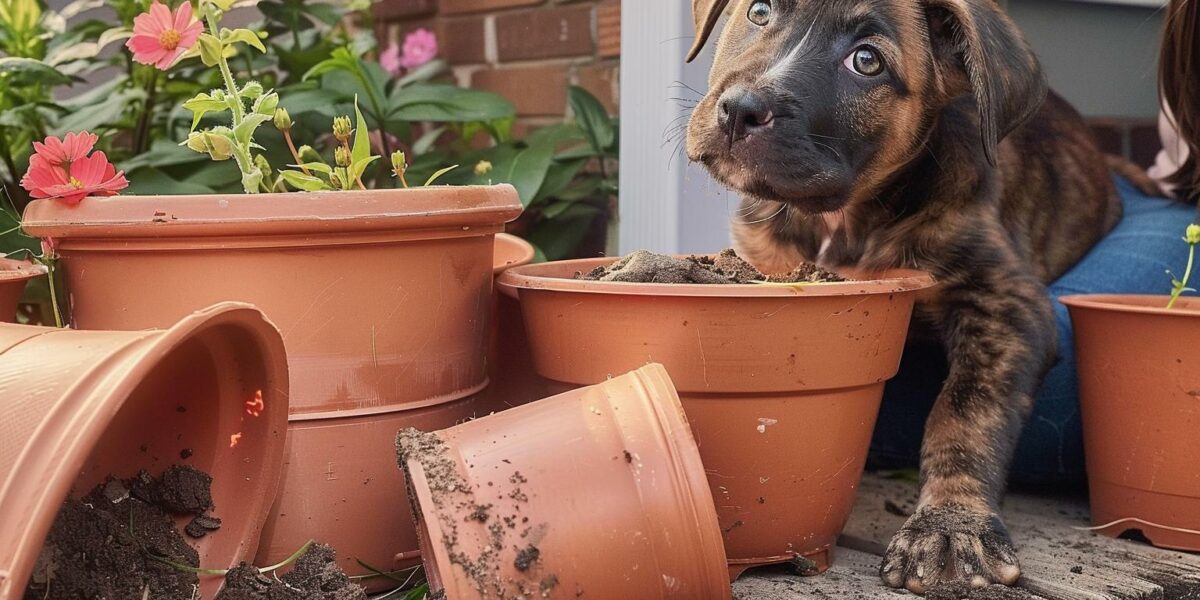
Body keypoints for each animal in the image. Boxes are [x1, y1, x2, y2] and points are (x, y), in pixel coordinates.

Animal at [691, 0, 1118, 592]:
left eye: (866, 61)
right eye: (758, 12)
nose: (739, 111)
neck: (846, 221)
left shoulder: (1008, 304)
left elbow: (964, 410)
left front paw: (951, 526)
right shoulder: (765, 262)